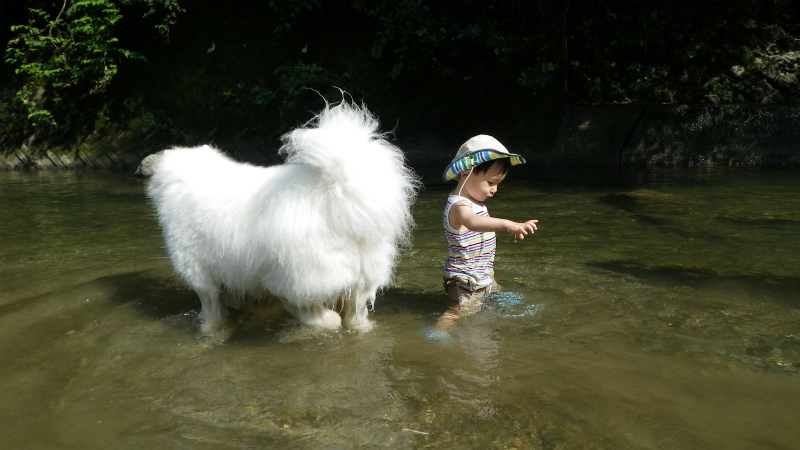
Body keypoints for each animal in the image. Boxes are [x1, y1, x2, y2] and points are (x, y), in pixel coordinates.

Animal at [147, 101, 418, 330]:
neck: (193, 179)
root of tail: (339, 192)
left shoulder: (200, 274)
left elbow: (211, 310)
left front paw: (207, 329)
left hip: (297, 277)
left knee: (317, 315)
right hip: (360, 282)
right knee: (354, 318)